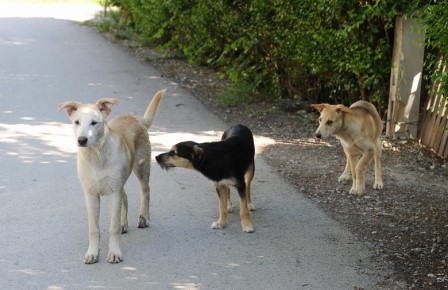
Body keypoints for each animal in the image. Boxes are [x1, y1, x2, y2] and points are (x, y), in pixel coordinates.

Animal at [57, 89, 165, 264]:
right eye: (77, 122)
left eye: (94, 123)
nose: (82, 140)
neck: (96, 156)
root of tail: (135, 118)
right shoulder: (91, 195)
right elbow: (94, 229)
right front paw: (92, 253)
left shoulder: (114, 192)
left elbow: (112, 227)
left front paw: (114, 252)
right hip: (120, 180)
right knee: (126, 197)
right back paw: (124, 224)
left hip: (141, 167)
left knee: (146, 191)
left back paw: (144, 218)